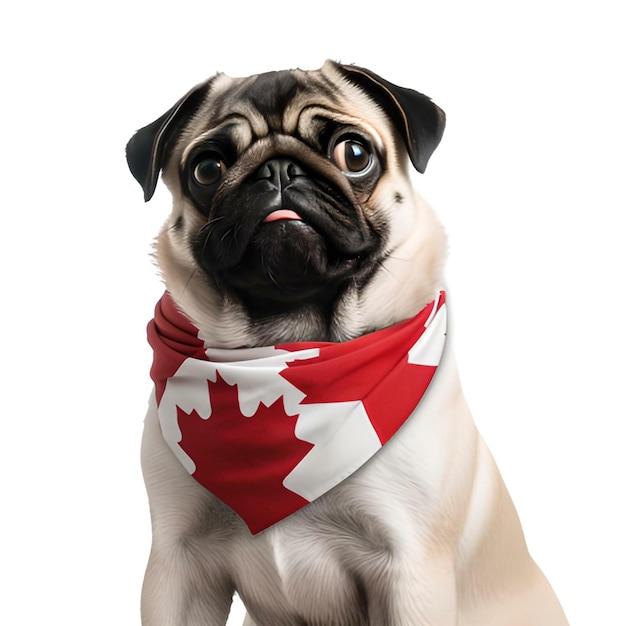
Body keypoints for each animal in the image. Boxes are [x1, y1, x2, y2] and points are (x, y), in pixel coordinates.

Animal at [125, 59, 564, 624]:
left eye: (354, 154)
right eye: (207, 170)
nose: (278, 170)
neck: (288, 348)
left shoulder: (410, 571)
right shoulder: (178, 563)